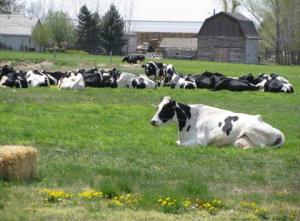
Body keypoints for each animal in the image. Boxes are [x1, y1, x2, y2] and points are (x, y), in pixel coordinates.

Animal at [151, 96, 284, 148]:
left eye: (166, 109)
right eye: (157, 107)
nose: (152, 121)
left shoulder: (201, 141)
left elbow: (180, 145)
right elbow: (177, 143)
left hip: (252, 130)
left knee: (261, 147)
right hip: (239, 141)